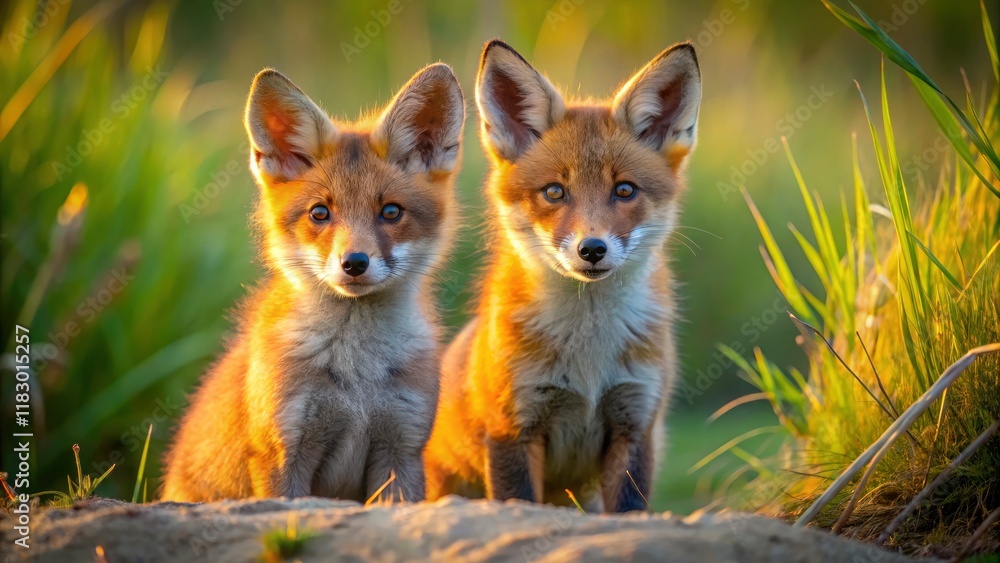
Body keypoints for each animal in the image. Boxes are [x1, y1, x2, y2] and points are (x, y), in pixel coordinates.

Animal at [161, 63, 465, 502]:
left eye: (391, 212)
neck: (358, 374)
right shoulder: (283, 450)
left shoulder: (402, 449)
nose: (354, 263)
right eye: (320, 213)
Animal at [424, 40, 701, 512]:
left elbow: (629, 510)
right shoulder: (513, 429)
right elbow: (518, 503)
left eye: (624, 190)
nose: (592, 249)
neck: (588, 358)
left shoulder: (636, 423)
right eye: (555, 191)